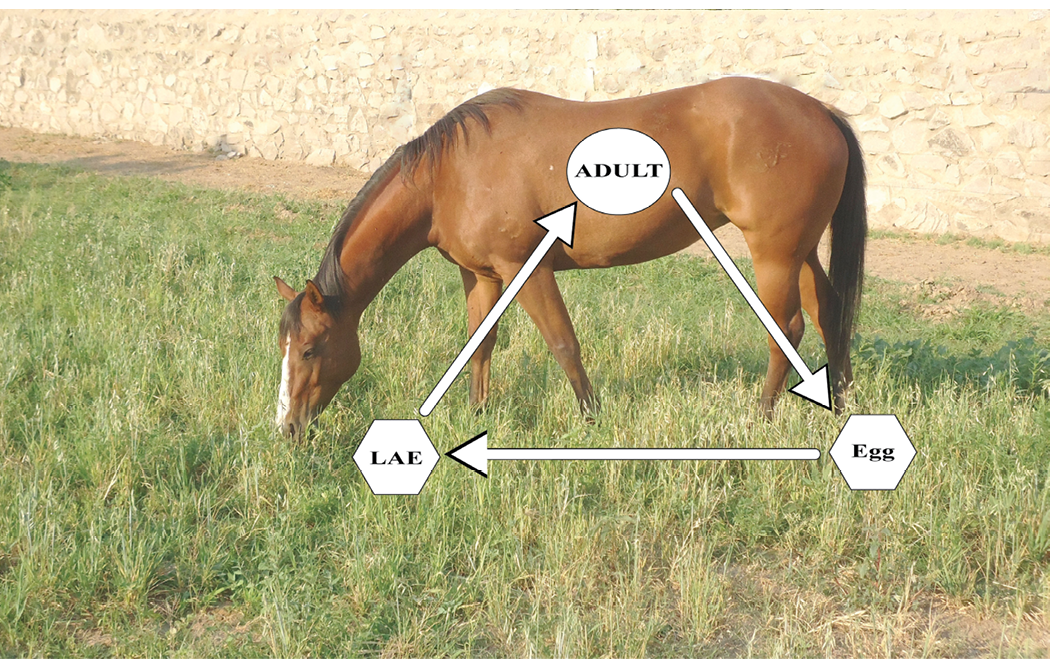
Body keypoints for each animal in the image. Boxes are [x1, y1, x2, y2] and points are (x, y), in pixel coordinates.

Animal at [275, 76, 865, 434]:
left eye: (309, 349)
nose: (288, 428)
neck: (449, 175)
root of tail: (820, 111)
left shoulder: (526, 269)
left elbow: (563, 344)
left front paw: (591, 419)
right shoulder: (481, 276)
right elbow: (480, 345)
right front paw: (476, 415)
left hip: (774, 255)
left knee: (786, 328)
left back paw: (761, 418)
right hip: (799, 252)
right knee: (829, 312)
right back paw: (840, 403)